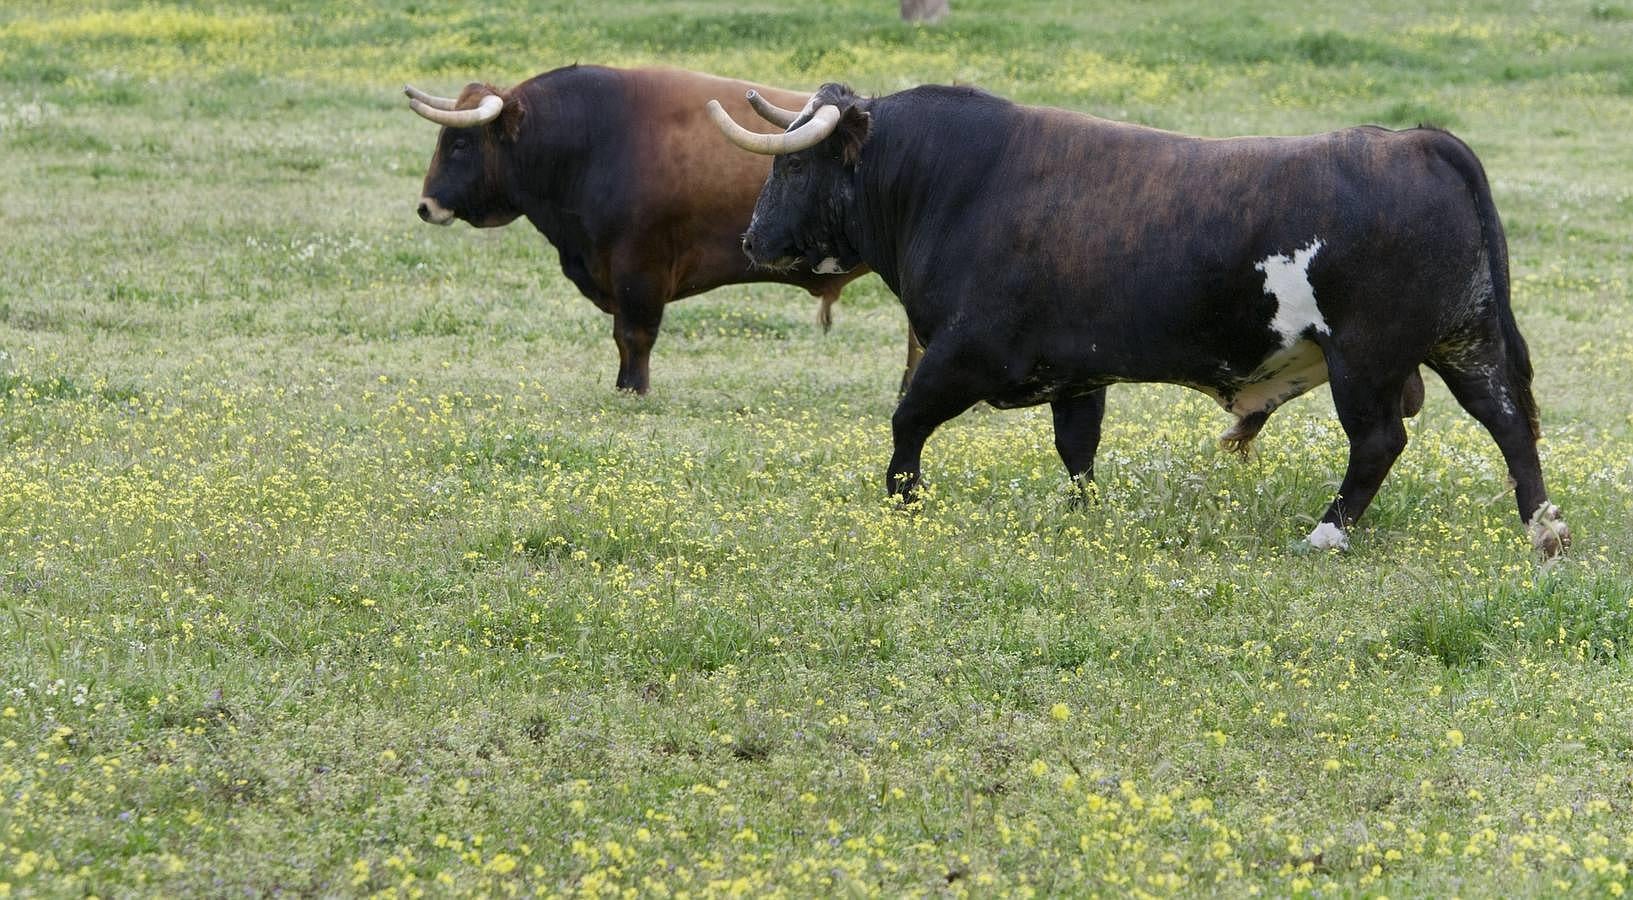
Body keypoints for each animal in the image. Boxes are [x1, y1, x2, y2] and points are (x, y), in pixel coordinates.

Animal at [715, 82, 1567, 555]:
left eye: (795, 162)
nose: (752, 239)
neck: (948, 181)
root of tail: (1417, 142)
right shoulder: (1075, 372)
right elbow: (1076, 449)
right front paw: (1083, 513)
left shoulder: (964, 352)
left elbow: (906, 419)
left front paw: (902, 502)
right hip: (1463, 340)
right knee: (1506, 421)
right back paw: (1543, 529)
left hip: (1366, 359)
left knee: (1380, 442)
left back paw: (1325, 533)